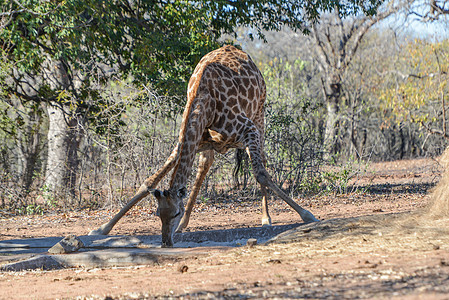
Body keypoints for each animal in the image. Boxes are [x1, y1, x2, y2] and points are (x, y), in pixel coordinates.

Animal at [89, 44, 316, 246]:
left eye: (175, 212)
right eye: (158, 214)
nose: (166, 242)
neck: (203, 101)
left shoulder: (248, 129)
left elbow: (260, 173)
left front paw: (307, 215)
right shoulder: (187, 142)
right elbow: (148, 183)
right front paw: (101, 229)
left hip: (259, 115)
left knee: (263, 162)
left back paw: (266, 218)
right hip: (212, 145)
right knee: (203, 169)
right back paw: (184, 225)